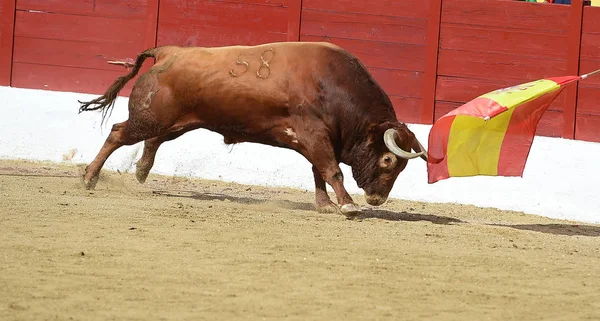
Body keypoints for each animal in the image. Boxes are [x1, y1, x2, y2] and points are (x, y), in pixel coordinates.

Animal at [78, 40, 426, 215]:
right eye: (388, 160)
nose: (377, 200)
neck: (333, 87)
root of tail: (167, 52)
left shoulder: (315, 140)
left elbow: (319, 172)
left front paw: (326, 205)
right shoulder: (315, 136)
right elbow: (331, 170)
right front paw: (347, 206)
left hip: (177, 120)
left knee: (155, 139)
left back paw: (140, 171)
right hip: (150, 117)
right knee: (119, 133)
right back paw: (89, 178)